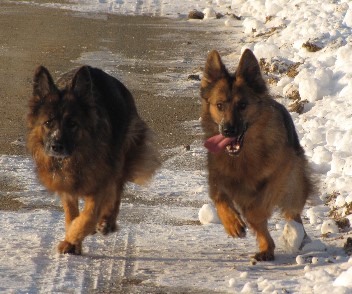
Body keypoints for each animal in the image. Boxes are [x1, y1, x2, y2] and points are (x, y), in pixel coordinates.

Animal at [27, 65, 160, 254]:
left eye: (72, 124)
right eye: (48, 122)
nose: (56, 146)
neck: (76, 159)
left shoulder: (100, 180)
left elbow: (88, 217)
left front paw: (73, 237)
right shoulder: (66, 185)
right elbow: (71, 215)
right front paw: (73, 242)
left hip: (121, 157)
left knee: (117, 190)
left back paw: (107, 221)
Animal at [201, 49, 314, 260]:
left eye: (243, 105)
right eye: (220, 105)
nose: (228, 130)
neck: (244, 156)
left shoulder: (281, 171)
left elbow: (257, 209)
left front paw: (251, 218)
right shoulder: (218, 177)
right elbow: (219, 197)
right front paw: (232, 223)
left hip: (294, 184)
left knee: (292, 213)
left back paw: (295, 235)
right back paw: (266, 248)